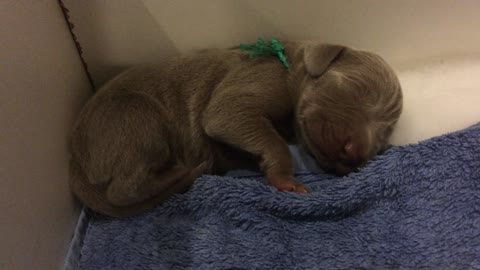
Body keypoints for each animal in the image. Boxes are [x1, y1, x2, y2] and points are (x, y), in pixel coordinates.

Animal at [69, 40, 404, 217]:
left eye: (385, 133)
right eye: (355, 86)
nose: (355, 151)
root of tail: (74, 161)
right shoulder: (248, 89)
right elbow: (263, 135)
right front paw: (287, 181)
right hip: (135, 115)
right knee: (123, 189)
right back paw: (180, 172)